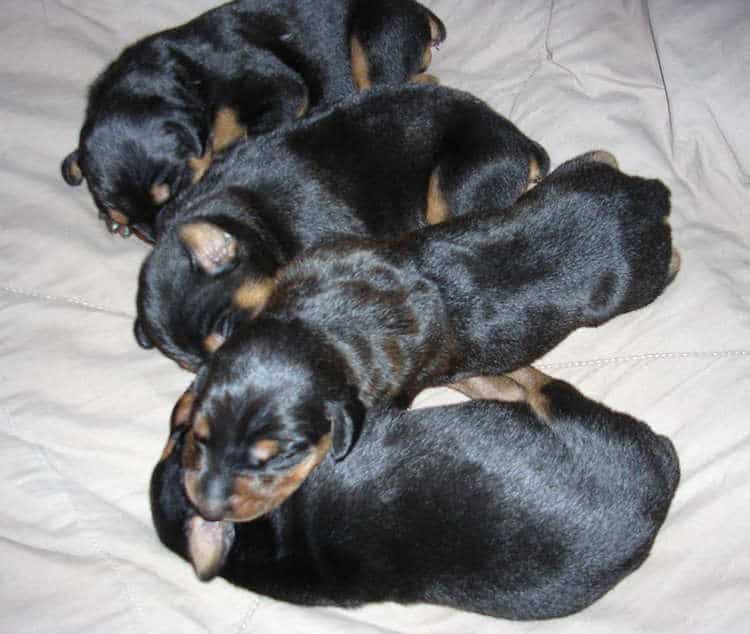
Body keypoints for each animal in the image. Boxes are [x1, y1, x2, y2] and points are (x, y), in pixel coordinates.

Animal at [61, 0, 446, 241]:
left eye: (179, 186)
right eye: (131, 222)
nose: (161, 234)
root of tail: (420, 12)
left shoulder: (279, 86)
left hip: (375, 36)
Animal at [153, 366, 680, 616]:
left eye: (178, 435)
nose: (197, 380)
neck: (261, 539)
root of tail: (662, 484)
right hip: (570, 413)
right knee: (537, 386)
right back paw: (483, 377)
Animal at [167, 151, 684, 520]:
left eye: (283, 456)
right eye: (201, 436)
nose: (205, 509)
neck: (317, 326)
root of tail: (649, 194)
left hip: (639, 280)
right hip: (575, 179)